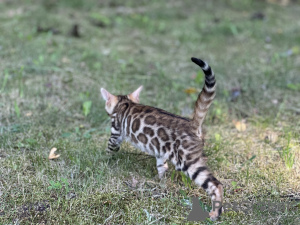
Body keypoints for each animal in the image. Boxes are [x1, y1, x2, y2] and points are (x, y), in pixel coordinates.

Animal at [101, 57, 223, 221]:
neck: (125, 104)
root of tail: (193, 124)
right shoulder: (160, 151)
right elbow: (162, 167)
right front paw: (161, 182)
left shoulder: (115, 134)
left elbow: (109, 150)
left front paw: (103, 161)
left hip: (188, 162)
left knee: (216, 184)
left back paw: (215, 213)